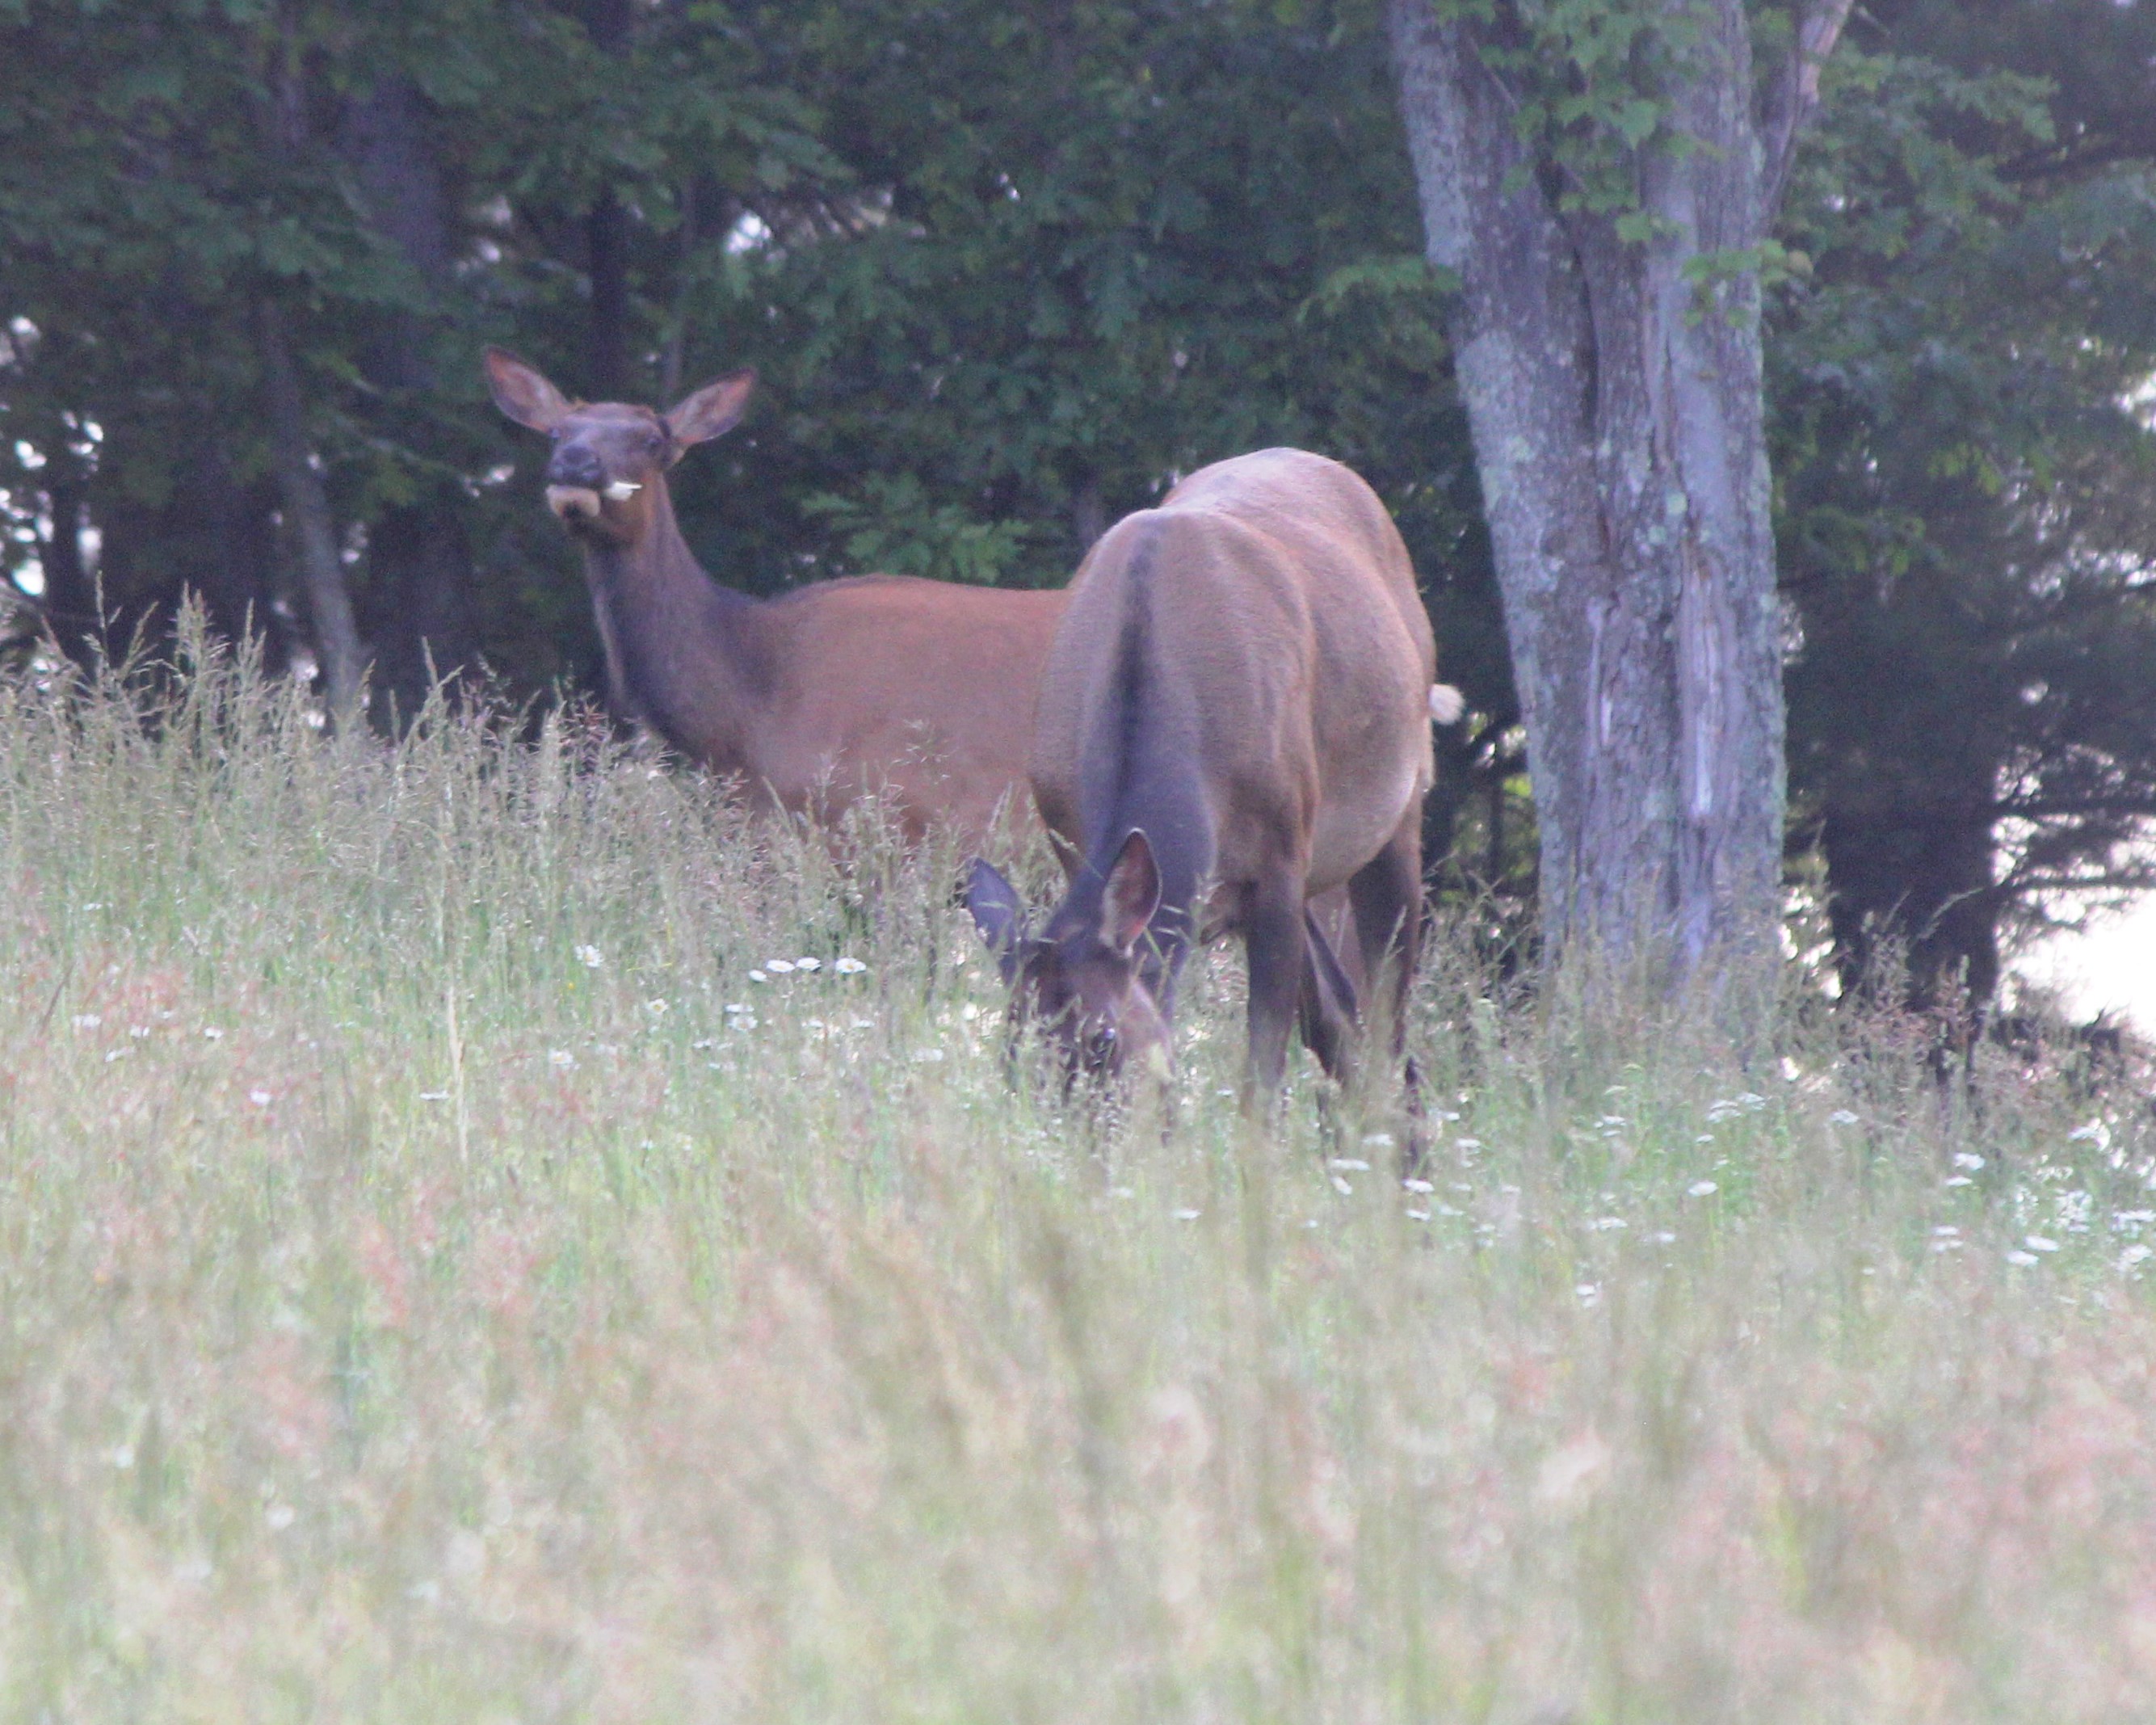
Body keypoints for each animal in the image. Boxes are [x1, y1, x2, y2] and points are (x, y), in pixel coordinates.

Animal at [970, 444, 1439, 1130]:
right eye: (1010, 1056)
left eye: (1103, 1037)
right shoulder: (1075, 844)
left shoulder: (1279, 862)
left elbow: (1261, 1079)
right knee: (1341, 1018)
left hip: (1397, 809)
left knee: (1389, 1028)